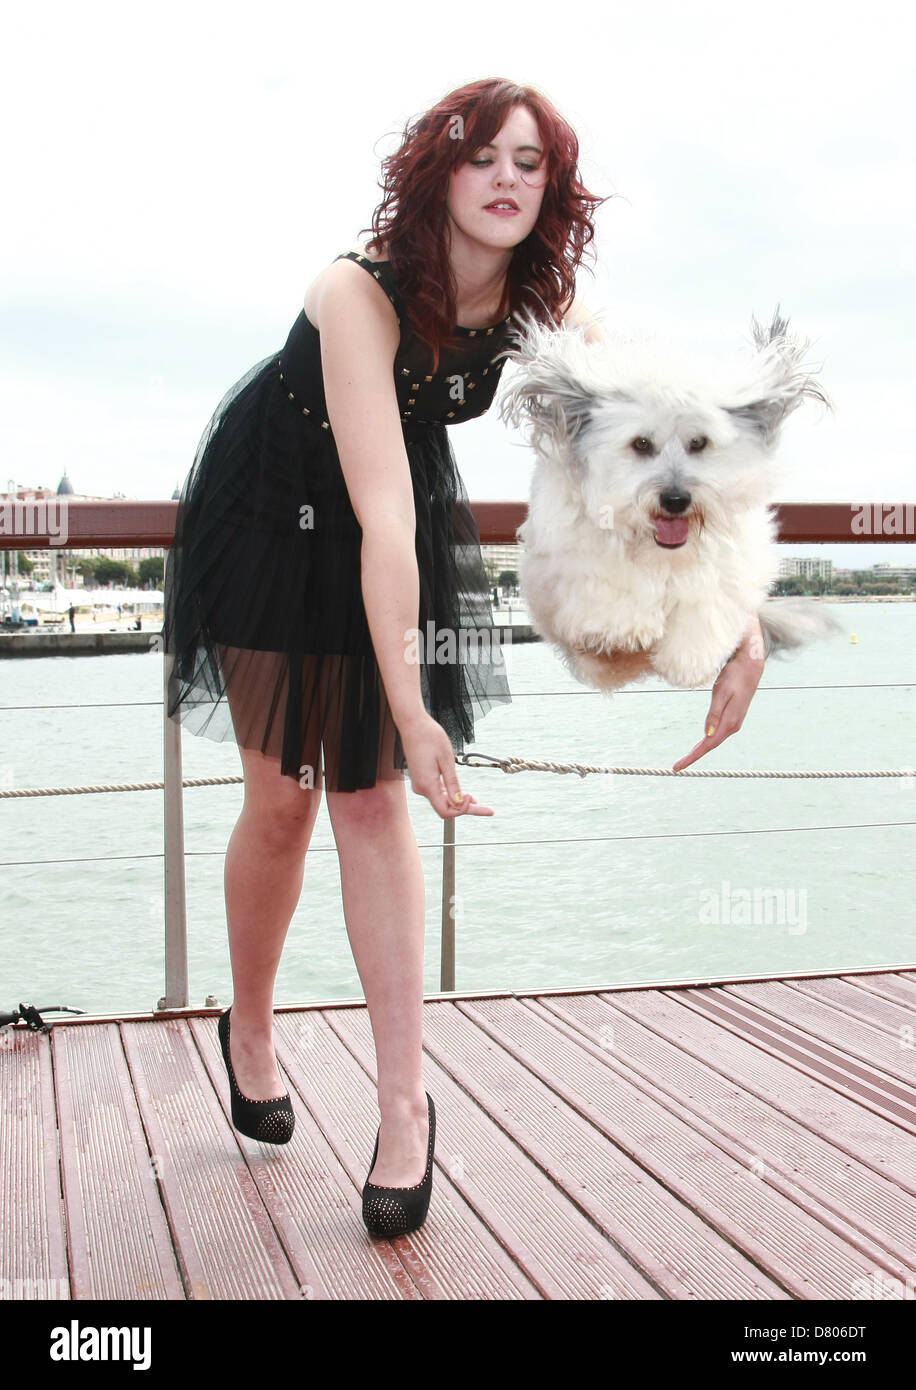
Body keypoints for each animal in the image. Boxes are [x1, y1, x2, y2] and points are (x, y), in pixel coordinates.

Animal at [497, 309, 839, 689]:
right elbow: (610, 584)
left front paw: (688, 659)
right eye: (641, 443)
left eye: (699, 442)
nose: (676, 499)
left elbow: (705, 603)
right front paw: (624, 628)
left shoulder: (727, 564)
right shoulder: (574, 555)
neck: (662, 553)